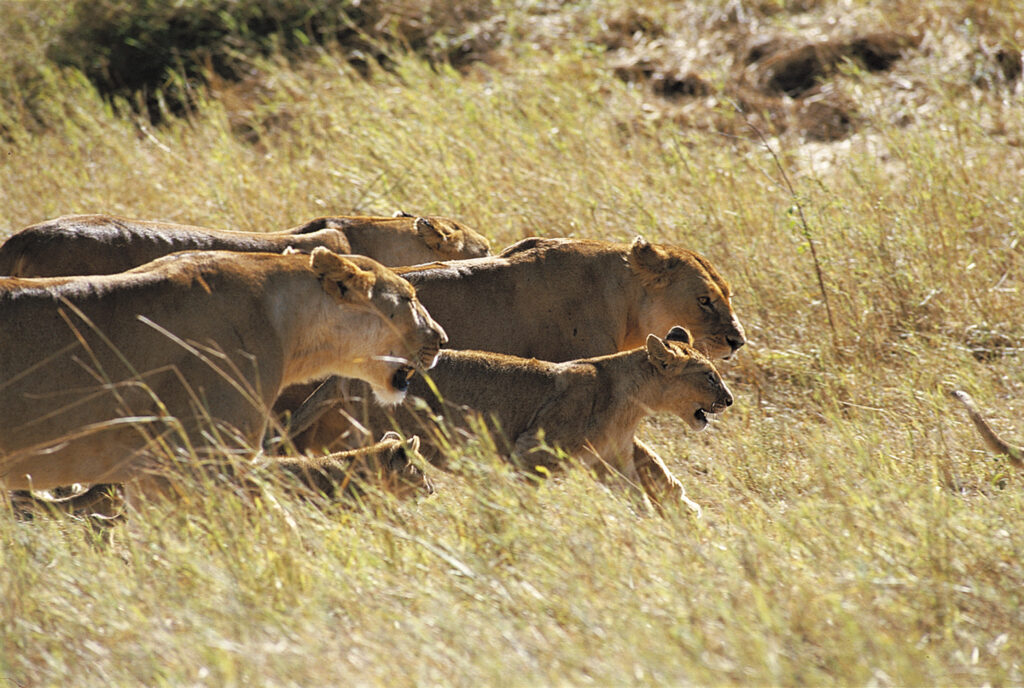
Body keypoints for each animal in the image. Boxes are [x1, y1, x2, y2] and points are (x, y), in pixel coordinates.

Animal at [333, 326, 731, 511]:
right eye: (709, 376)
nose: (728, 400)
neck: (634, 401)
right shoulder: (532, 452)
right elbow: (522, 494)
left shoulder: (611, 462)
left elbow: (640, 495)